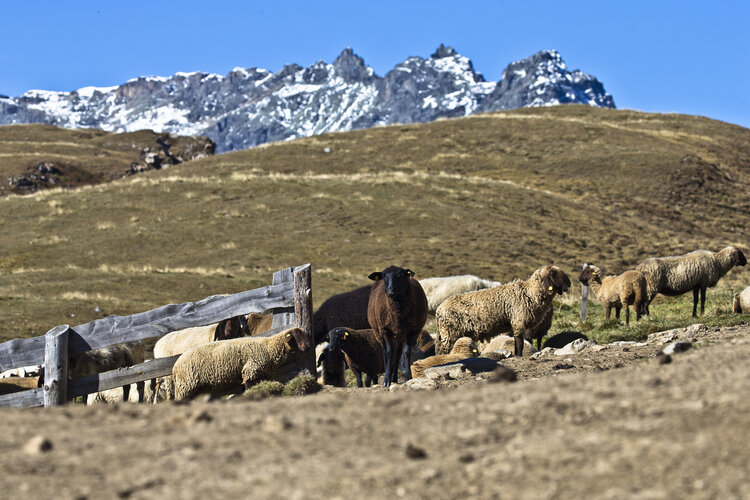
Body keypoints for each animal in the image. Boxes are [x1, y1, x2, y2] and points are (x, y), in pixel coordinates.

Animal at [173, 326, 312, 400]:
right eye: (296, 336)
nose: (308, 347)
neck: (269, 347)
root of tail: (175, 367)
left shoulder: (264, 373)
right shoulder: (251, 370)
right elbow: (248, 386)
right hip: (186, 385)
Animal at [434, 264, 568, 358]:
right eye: (554, 274)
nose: (569, 284)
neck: (530, 292)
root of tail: (439, 309)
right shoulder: (518, 322)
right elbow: (519, 343)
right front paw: (518, 356)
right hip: (449, 334)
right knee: (442, 351)